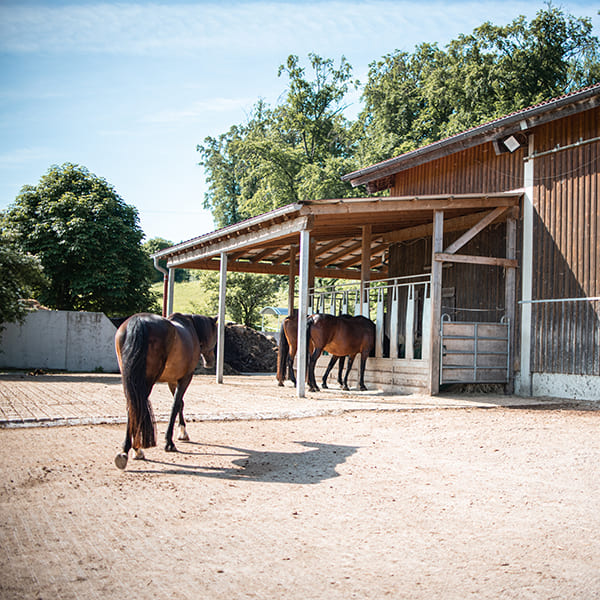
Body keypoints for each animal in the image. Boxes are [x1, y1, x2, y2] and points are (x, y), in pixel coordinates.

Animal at [113, 312, 217, 472]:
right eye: (215, 334)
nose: (210, 361)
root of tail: (138, 321)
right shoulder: (185, 378)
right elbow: (176, 405)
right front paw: (170, 441)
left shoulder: (172, 381)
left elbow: (180, 404)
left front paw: (182, 433)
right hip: (146, 382)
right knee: (138, 406)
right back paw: (136, 449)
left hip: (130, 380)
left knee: (132, 407)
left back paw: (129, 450)